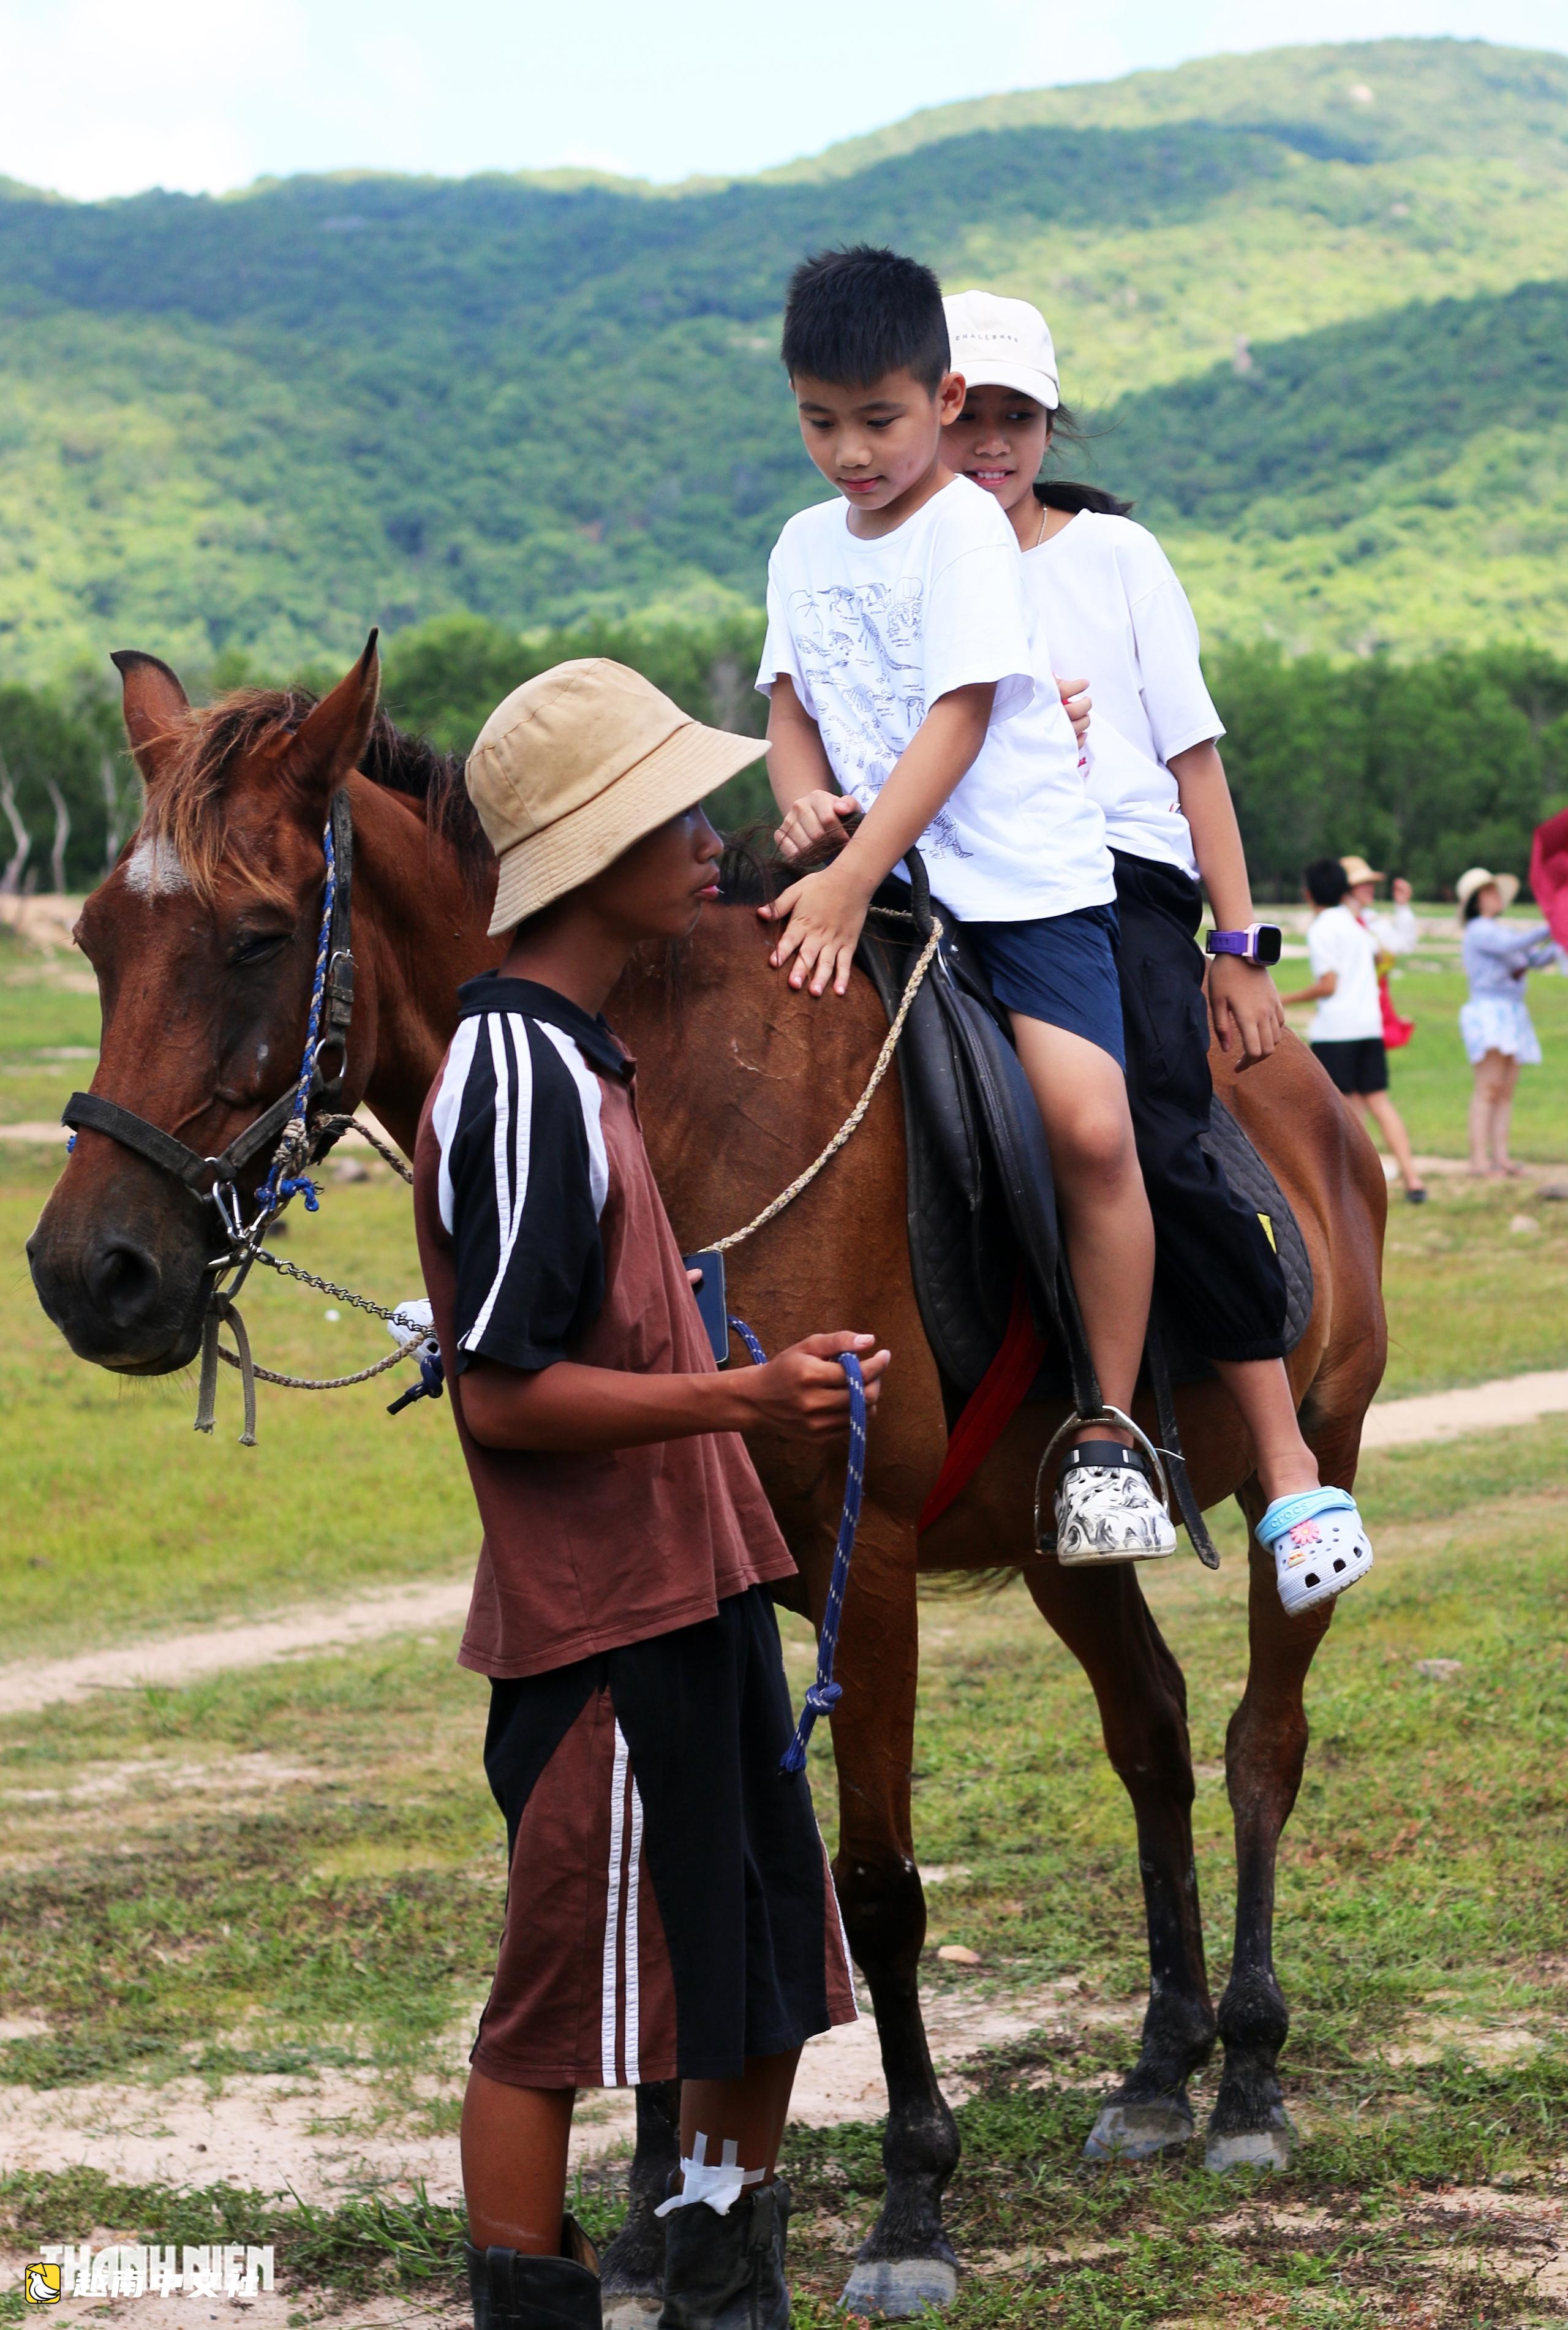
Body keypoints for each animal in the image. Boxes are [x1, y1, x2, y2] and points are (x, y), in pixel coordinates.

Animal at [28, 644, 1386, 2319]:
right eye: (97, 940)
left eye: (260, 935)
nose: (91, 1273)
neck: (660, 1105)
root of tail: (1315, 1115)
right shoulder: (691, 1573)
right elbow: (666, 1880)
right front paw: (641, 2220)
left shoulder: (866, 1569)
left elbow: (873, 1887)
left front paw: (907, 2206)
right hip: (1053, 1543)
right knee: (1149, 1734)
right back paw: (1156, 2065)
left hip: (1312, 1446)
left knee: (1262, 1742)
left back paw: (1247, 2075)